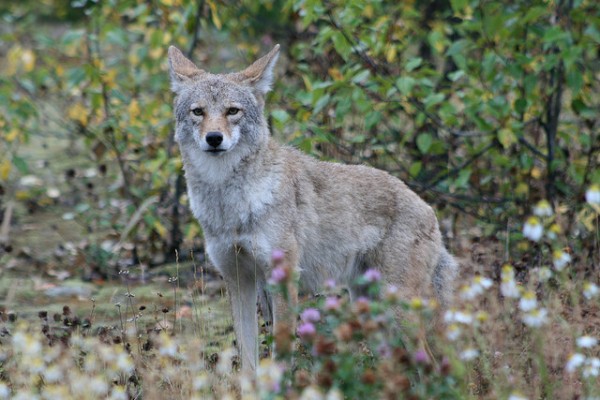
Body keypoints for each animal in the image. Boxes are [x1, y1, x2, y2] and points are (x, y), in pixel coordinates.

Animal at [167, 44, 458, 373]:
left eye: (232, 111)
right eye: (198, 112)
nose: (214, 138)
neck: (229, 204)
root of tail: (430, 211)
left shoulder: (284, 278)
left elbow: (281, 350)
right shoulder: (238, 280)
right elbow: (247, 359)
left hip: (397, 310)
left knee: (431, 364)